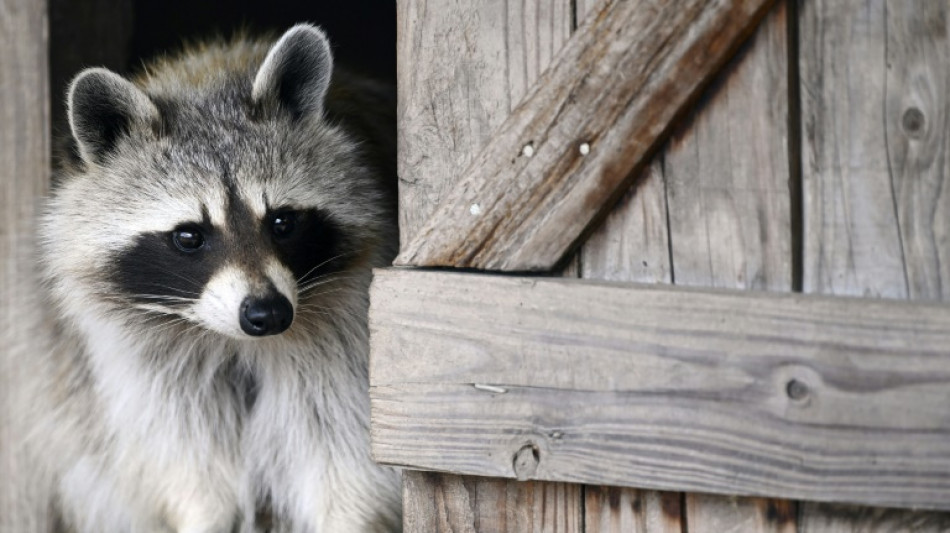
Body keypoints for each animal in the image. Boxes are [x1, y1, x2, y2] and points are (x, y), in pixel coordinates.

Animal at [15, 22, 402, 528]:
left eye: (282, 222)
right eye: (188, 237)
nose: (268, 314)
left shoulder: (348, 346)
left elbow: (344, 468)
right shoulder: (147, 374)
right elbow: (195, 474)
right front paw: (203, 513)